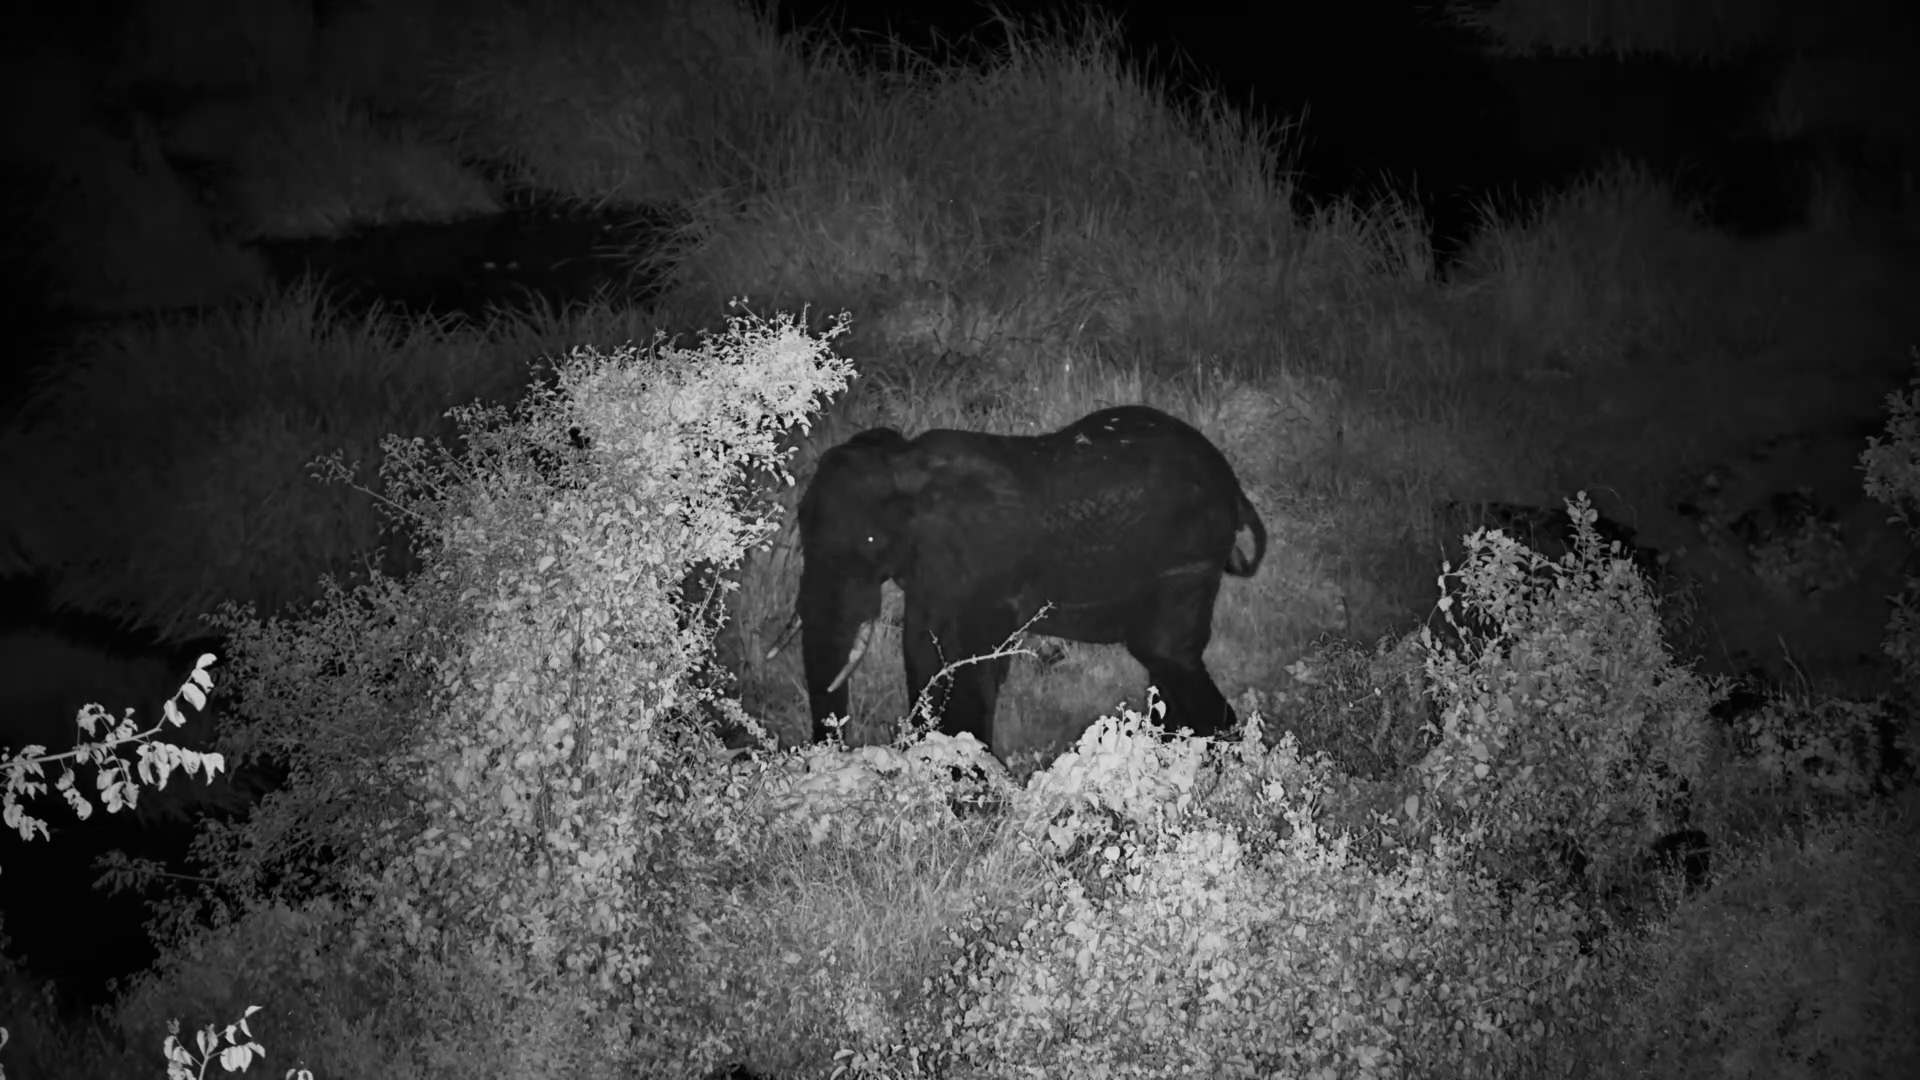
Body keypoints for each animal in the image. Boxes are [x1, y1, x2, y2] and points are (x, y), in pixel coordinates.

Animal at [783, 404, 1266, 760]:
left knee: (1165, 652)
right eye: (799, 526)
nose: (828, 754)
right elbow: (924, 651)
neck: (907, 466)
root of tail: (1235, 488)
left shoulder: (981, 565)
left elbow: (967, 660)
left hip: (1186, 560)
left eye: (869, 540)